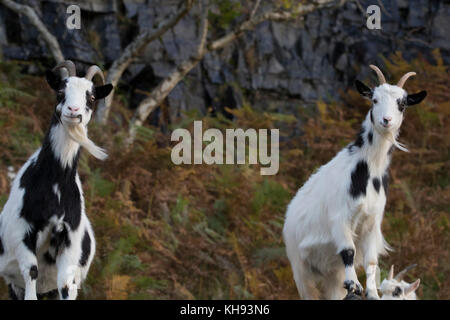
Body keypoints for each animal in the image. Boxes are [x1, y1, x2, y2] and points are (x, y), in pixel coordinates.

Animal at [0, 60, 112, 300]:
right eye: (61, 92)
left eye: (90, 97)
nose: (74, 111)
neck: (55, 185)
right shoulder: (22, 231)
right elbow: (31, 271)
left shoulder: (70, 242)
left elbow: (65, 285)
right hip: (12, 280)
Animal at [284, 65, 428, 300]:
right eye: (374, 100)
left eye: (402, 103)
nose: (386, 120)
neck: (368, 173)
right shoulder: (340, 218)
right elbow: (348, 251)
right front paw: (354, 284)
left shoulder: (372, 222)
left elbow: (371, 261)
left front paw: (371, 292)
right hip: (299, 267)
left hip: (331, 275)